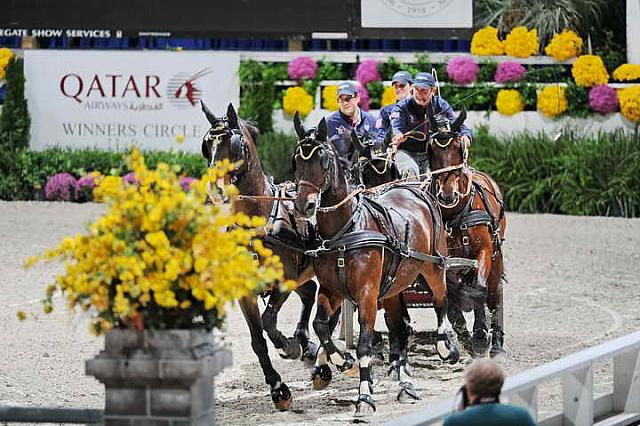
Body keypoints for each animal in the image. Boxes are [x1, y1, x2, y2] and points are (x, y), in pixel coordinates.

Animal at [201, 101, 336, 412]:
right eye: (207, 145)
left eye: (235, 145)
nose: (215, 187)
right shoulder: (245, 293)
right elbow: (257, 340)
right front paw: (278, 388)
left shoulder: (283, 282)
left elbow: (269, 322)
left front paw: (289, 347)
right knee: (310, 293)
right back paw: (307, 345)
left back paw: (316, 358)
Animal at [290, 113, 460, 416]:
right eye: (296, 160)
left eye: (323, 160)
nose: (303, 206)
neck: (346, 230)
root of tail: (413, 191)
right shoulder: (332, 290)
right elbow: (321, 325)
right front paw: (341, 361)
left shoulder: (367, 294)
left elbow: (365, 345)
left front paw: (364, 397)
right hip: (392, 288)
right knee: (400, 327)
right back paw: (405, 384)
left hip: (434, 266)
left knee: (441, 300)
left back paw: (444, 346)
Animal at [428, 110, 508, 356]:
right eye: (432, 149)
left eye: (458, 148)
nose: (447, 195)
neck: (455, 214)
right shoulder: (442, 261)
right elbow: (450, 293)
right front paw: (460, 330)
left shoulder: (484, 251)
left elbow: (479, 288)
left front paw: (481, 332)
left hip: (497, 255)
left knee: (493, 292)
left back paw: (496, 341)